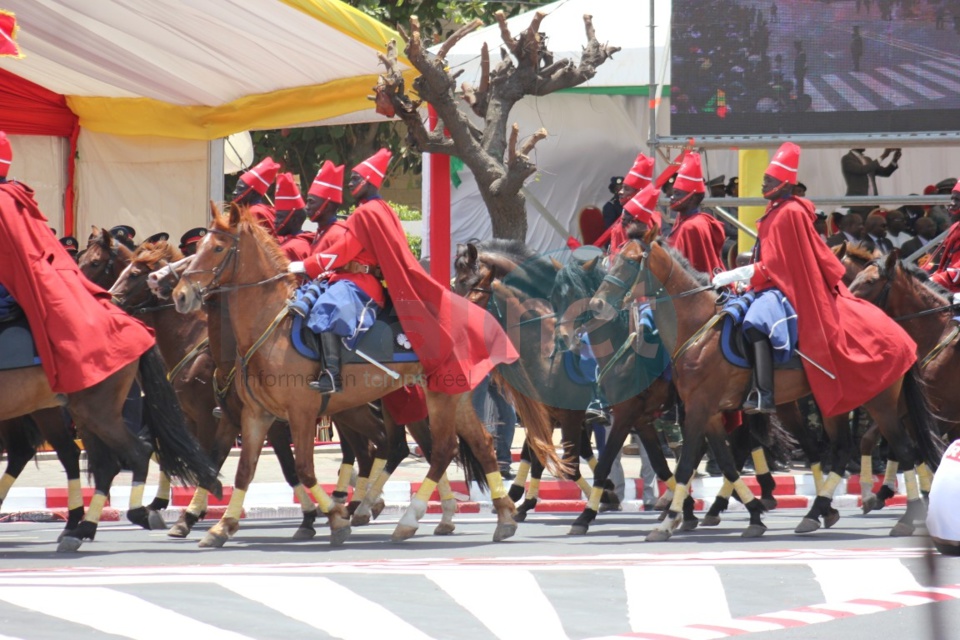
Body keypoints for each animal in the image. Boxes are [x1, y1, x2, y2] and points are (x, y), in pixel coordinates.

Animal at [169, 204, 560, 544]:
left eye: (218, 247)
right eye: (199, 247)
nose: (180, 295)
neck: (270, 328)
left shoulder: (300, 413)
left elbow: (304, 468)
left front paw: (335, 517)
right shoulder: (255, 415)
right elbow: (244, 470)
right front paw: (221, 527)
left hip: (437, 396)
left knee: (440, 450)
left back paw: (407, 519)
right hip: (453, 394)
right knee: (479, 445)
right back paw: (503, 515)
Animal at [592, 240, 944, 540]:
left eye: (630, 262)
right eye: (611, 259)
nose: (598, 303)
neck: (697, 328)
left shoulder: (689, 409)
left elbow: (683, 463)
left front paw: (667, 521)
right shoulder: (701, 413)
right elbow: (720, 462)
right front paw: (750, 514)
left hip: (878, 402)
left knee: (905, 450)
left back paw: (903, 516)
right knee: (847, 449)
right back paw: (817, 511)